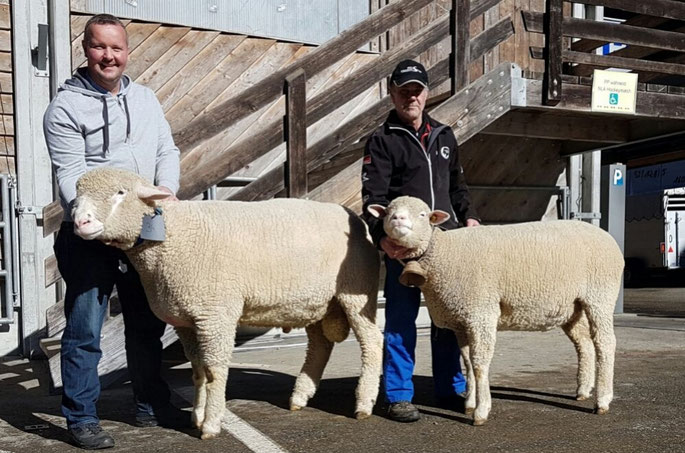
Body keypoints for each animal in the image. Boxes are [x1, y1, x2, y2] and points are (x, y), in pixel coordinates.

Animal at [71, 167, 382, 438]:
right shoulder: (186, 321)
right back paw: (300, 397)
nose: (81, 223)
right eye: (77, 195)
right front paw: (197, 415)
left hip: (356, 292)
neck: (172, 236)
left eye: (120, 192)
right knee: (320, 345)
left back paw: (363, 403)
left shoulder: (215, 314)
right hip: (316, 302)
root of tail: (353, 216)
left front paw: (210, 424)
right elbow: (197, 370)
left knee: (372, 342)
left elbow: (213, 370)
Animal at [368, 196, 624, 426]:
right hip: (573, 307)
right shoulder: (461, 320)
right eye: (388, 212)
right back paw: (583, 390)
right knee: (585, 345)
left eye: (422, 214)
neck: (442, 253)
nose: (398, 219)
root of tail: (607, 237)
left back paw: (602, 400)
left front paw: (481, 411)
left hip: (600, 295)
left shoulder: (481, 312)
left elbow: (480, 362)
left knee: (605, 343)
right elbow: (467, 361)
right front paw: (470, 402)